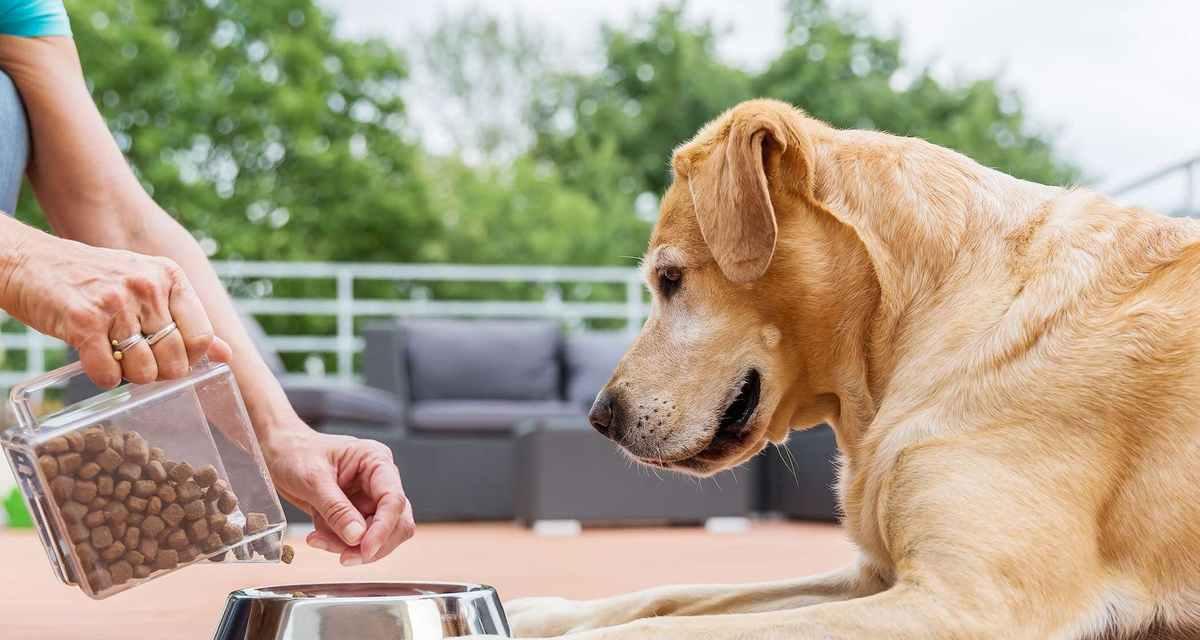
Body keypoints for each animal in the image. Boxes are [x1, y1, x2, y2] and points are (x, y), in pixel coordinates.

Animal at [501, 99, 1200, 638]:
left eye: (670, 279)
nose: (599, 417)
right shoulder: (876, 576)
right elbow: (671, 594)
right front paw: (534, 610)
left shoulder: (967, 602)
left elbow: (663, 627)